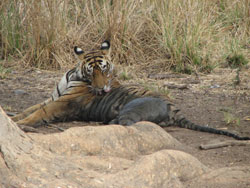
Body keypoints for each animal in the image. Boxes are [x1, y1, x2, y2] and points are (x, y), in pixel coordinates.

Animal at [12, 39, 250, 140]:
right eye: (92, 71)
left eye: (105, 69)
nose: (103, 89)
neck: (74, 74)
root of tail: (174, 106)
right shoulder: (53, 97)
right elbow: (29, 109)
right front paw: (13, 118)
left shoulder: (61, 103)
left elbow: (37, 113)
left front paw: (20, 124)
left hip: (132, 107)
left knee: (129, 125)